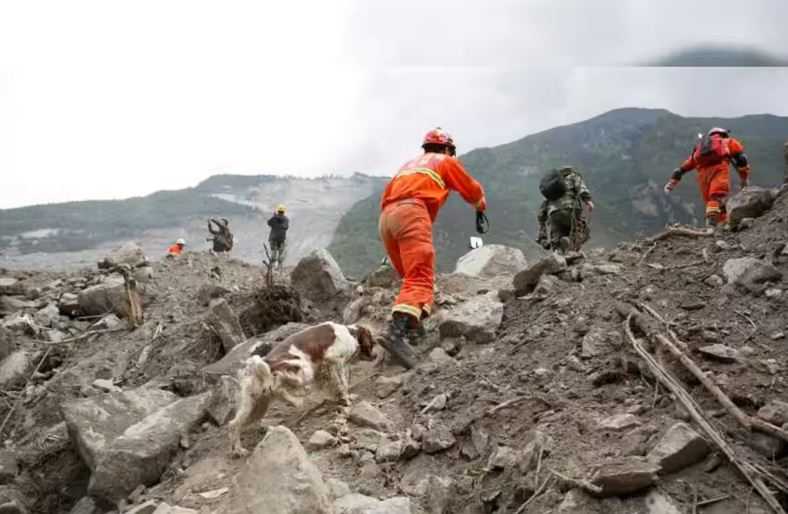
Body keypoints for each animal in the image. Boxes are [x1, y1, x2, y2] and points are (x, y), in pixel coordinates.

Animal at [228, 320, 376, 456]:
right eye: (372, 342)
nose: (375, 356)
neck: (350, 333)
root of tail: (259, 366)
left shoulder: (325, 370)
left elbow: (334, 385)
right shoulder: (333, 359)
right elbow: (342, 383)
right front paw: (346, 399)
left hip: (255, 404)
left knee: (235, 424)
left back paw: (239, 449)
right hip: (303, 368)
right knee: (278, 385)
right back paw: (295, 399)